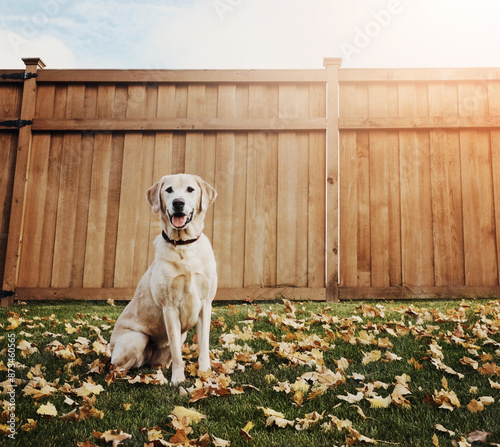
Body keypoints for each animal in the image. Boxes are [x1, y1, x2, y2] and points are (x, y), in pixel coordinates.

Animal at [110, 173, 216, 384]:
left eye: (190, 189)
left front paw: (205, 374)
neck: (184, 245)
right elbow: (177, 353)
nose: (178, 202)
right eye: (169, 190)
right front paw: (178, 380)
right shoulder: (170, 308)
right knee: (118, 368)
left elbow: (203, 347)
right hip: (137, 339)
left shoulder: (205, 305)